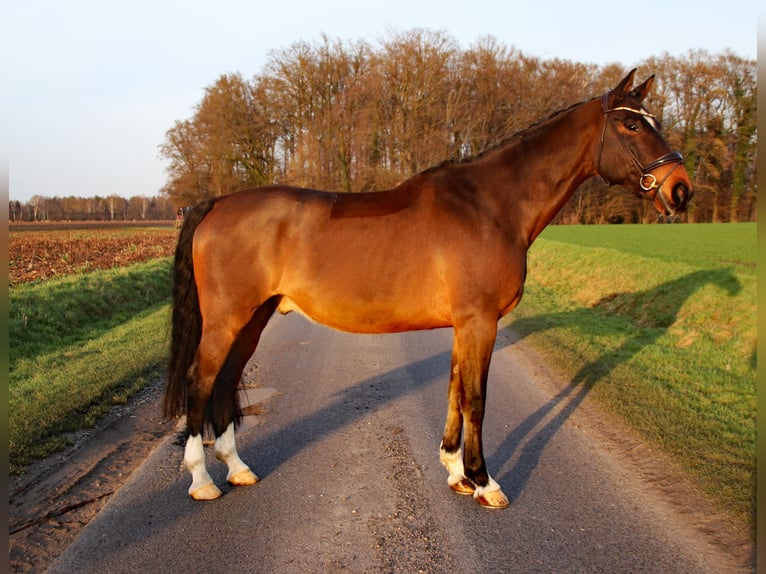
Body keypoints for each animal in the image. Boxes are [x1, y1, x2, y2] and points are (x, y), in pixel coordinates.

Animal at [164, 69, 692, 507]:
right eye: (632, 127)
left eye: (654, 122)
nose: (681, 189)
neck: (491, 205)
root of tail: (216, 203)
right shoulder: (480, 321)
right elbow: (476, 398)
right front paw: (484, 482)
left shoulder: (466, 324)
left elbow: (455, 389)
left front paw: (456, 472)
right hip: (227, 319)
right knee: (200, 381)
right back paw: (202, 480)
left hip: (253, 319)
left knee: (226, 382)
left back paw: (237, 469)